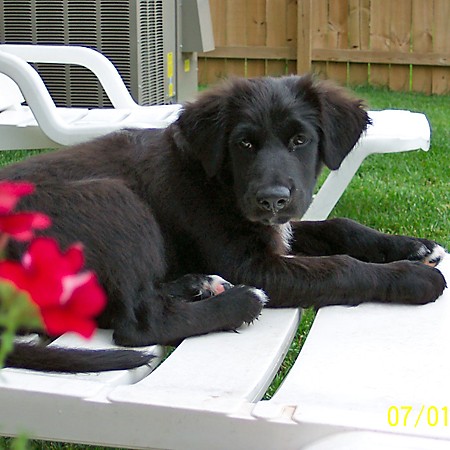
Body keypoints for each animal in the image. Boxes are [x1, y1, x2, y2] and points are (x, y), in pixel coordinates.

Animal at [1, 75, 446, 372]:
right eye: (243, 143)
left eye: (300, 140)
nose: (272, 199)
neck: (218, 179)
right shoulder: (250, 264)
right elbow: (341, 267)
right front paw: (411, 277)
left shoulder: (278, 231)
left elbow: (340, 226)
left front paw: (415, 247)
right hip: (113, 197)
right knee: (137, 323)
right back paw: (240, 302)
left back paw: (197, 284)